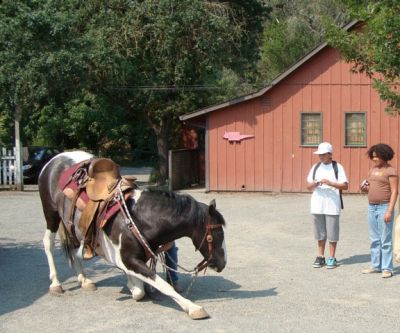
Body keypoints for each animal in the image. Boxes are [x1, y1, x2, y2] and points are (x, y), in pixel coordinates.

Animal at [39, 150, 227, 320]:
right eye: (216, 232)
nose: (223, 263)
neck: (140, 218)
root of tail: (55, 160)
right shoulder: (130, 259)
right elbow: (162, 285)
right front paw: (193, 308)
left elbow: (139, 289)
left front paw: (133, 285)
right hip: (51, 215)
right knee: (48, 243)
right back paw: (55, 284)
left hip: (71, 225)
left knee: (73, 247)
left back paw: (85, 280)